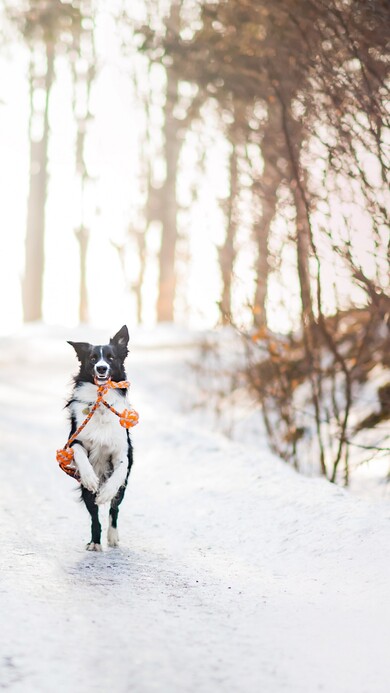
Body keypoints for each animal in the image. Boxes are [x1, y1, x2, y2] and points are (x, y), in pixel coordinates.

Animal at [67, 326, 134, 552]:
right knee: (94, 515)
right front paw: (90, 477)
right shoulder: (74, 439)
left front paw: (106, 492)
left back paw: (112, 536)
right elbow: (79, 453)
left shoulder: (122, 450)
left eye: (111, 358)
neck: (101, 402)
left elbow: (120, 469)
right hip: (86, 494)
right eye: (93, 358)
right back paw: (95, 542)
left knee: (114, 510)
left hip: (123, 491)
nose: (102, 368)